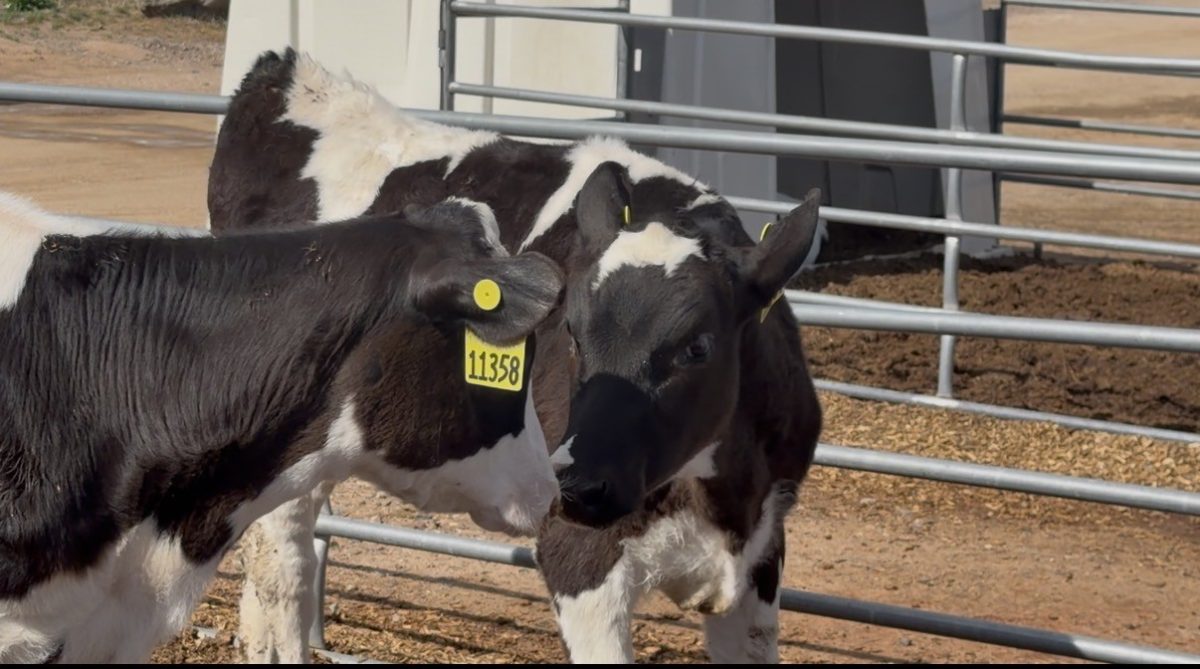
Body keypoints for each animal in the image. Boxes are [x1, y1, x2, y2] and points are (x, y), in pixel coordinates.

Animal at [209, 49, 823, 664]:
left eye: (698, 346)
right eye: (572, 333)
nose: (579, 483)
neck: (719, 500)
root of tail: (288, 79)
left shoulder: (761, 562)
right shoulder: (579, 560)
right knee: (283, 570)